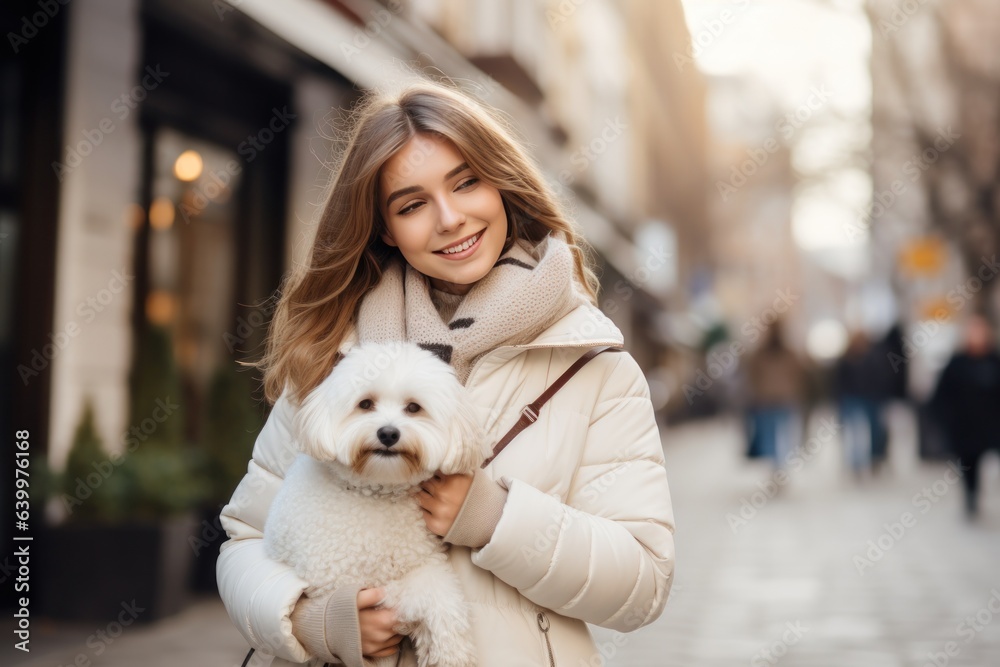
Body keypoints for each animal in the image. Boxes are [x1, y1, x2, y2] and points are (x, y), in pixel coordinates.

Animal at [264, 342, 486, 664]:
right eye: (365, 404)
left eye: (413, 408)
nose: (388, 433)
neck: (376, 492)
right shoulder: (344, 580)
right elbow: (408, 596)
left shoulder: (425, 563)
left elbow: (440, 592)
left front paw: (451, 652)